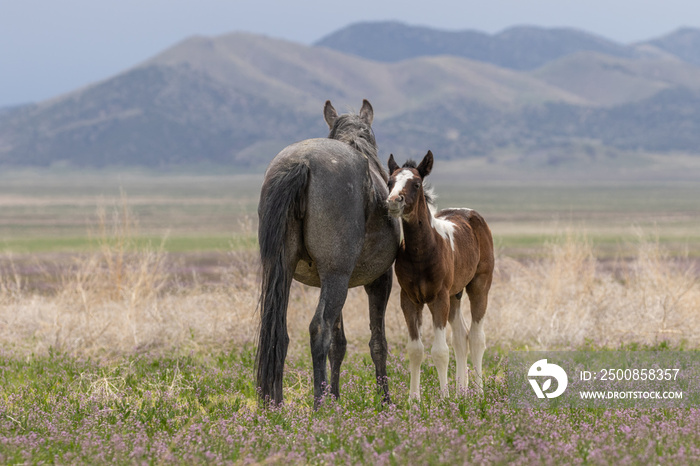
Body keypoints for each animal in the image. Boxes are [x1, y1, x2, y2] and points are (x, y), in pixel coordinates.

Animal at [256, 99, 400, 408]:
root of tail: (301, 162)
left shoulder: (331, 279)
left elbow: (339, 344)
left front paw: (336, 396)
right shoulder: (379, 280)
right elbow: (377, 342)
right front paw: (385, 401)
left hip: (286, 269)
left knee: (278, 334)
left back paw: (276, 406)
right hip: (337, 276)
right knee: (319, 329)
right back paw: (318, 404)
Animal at [388, 152, 492, 396]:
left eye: (416, 184)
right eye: (390, 182)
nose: (393, 201)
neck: (421, 252)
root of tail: (471, 214)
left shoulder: (439, 297)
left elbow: (440, 351)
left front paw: (444, 398)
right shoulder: (409, 299)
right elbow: (415, 350)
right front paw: (414, 400)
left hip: (479, 285)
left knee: (476, 337)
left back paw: (479, 393)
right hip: (455, 294)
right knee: (461, 337)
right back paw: (461, 392)